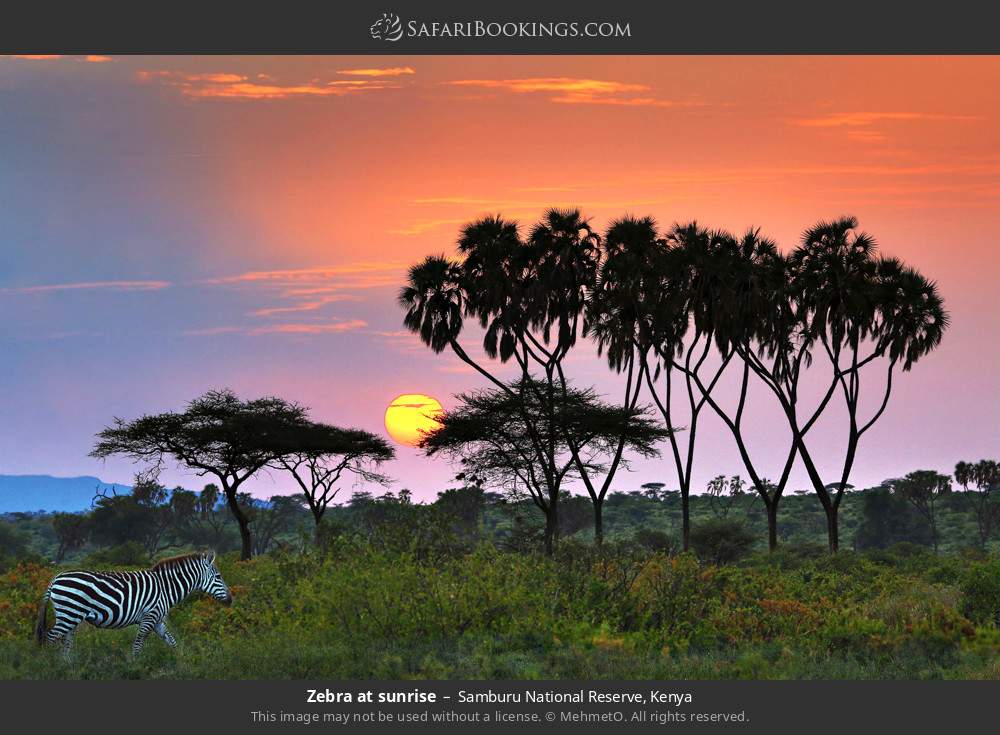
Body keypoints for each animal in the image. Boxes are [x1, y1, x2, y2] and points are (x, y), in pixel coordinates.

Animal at [35, 552, 232, 656]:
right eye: (218, 577)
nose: (231, 600)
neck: (166, 587)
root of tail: (56, 577)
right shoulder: (149, 617)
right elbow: (138, 645)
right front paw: (135, 667)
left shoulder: (158, 620)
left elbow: (172, 642)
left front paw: (183, 661)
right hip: (69, 613)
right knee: (50, 638)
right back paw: (49, 666)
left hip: (71, 616)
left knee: (66, 643)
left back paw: (67, 667)